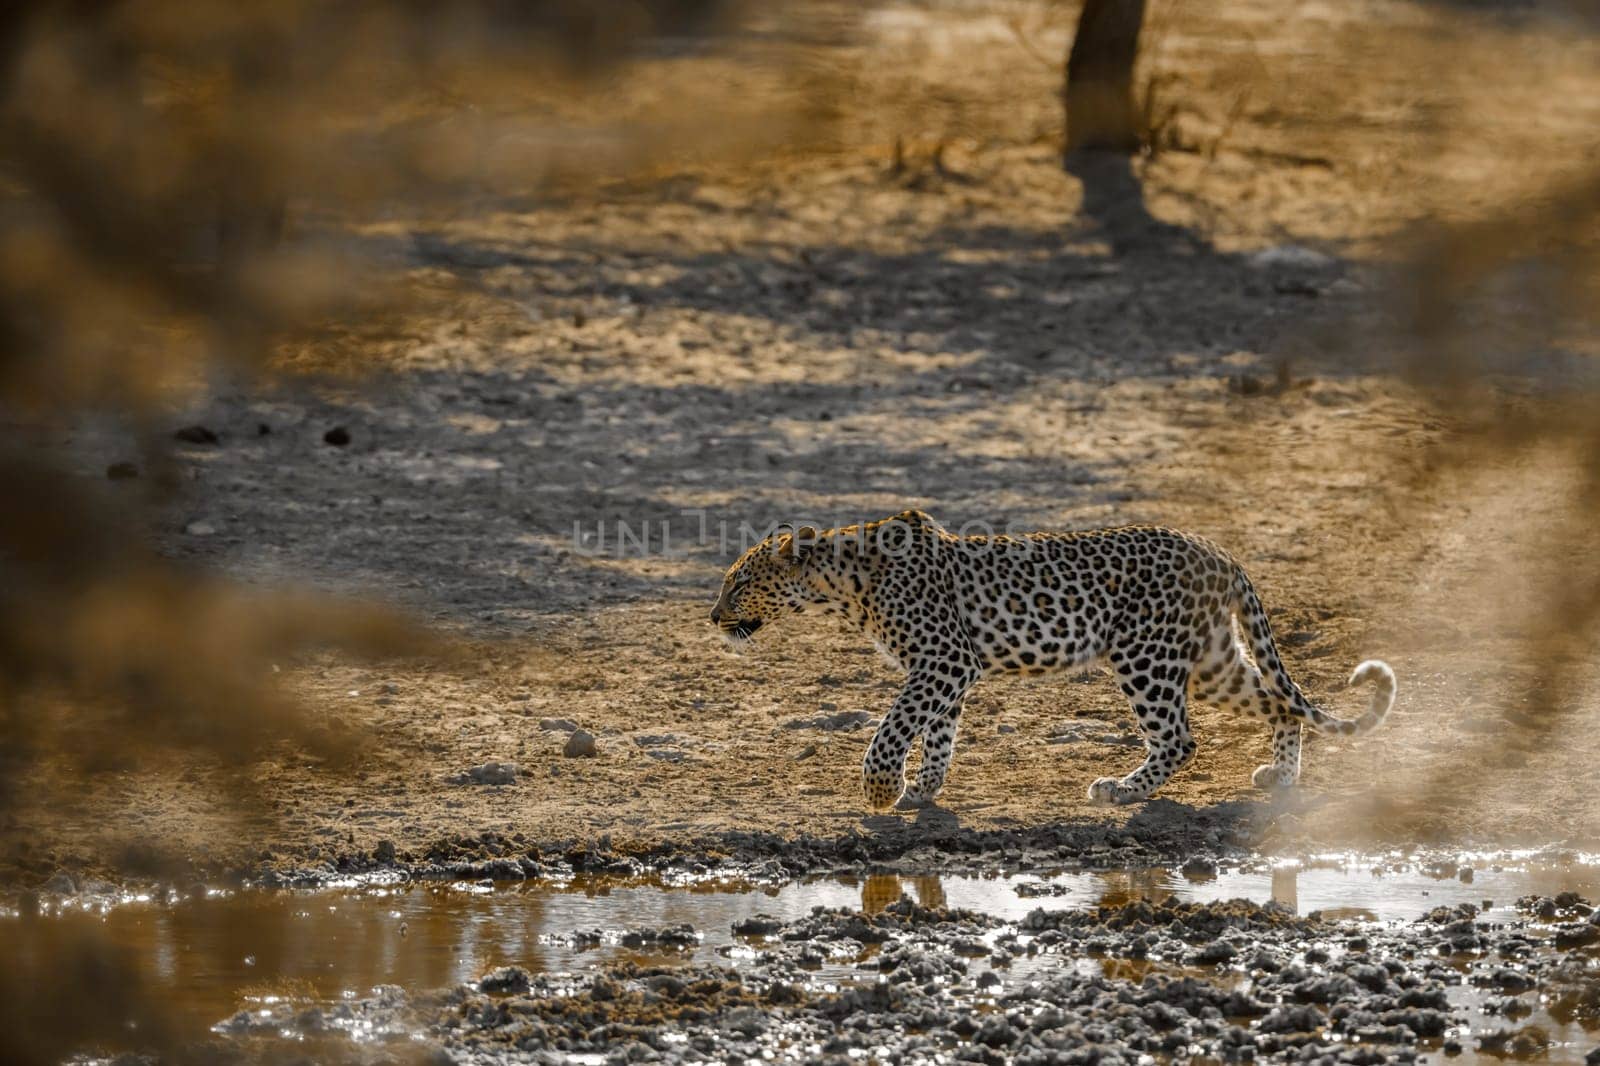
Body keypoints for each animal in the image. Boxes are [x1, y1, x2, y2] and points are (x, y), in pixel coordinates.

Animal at [707, 512, 1395, 809]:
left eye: (739, 583)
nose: (713, 617)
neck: (842, 582)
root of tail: (1218, 550)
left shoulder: (942, 661)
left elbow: (895, 728)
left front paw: (880, 789)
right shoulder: (949, 670)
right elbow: (938, 735)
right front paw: (922, 790)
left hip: (1146, 655)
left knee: (1180, 738)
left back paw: (1120, 789)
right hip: (1211, 660)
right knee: (1279, 704)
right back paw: (1280, 776)